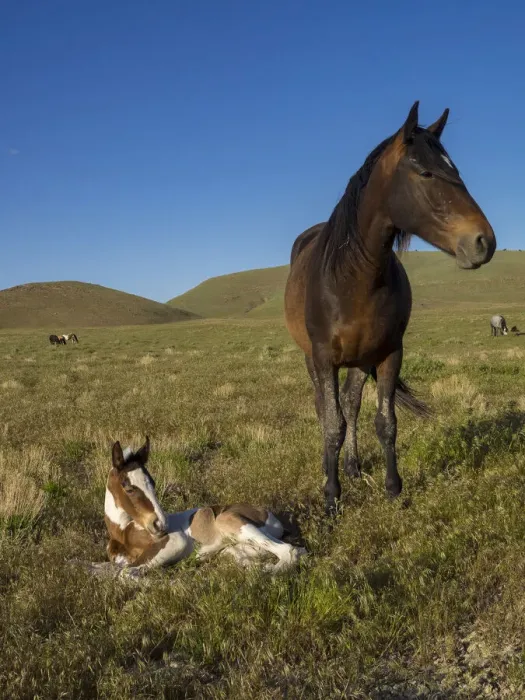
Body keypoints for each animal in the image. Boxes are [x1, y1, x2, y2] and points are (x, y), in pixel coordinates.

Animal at [103, 437, 306, 578]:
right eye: (129, 488)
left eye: (152, 483)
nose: (160, 524)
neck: (123, 531)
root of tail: (271, 516)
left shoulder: (176, 541)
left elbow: (125, 573)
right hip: (233, 550)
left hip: (229, 521)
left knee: (290, 551)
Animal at [284, 101, 496, 515]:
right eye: (425, 172)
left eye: (456, 171)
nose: (484, 242)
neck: (354, 278)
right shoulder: (323, 357)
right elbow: (331, 424)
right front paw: (331, 497)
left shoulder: (388, 354)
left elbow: (385, 422)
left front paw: (394, 489)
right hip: (311, 360)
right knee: (324, 408)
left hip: (360, 360)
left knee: (351, 405)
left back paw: (351, 466)